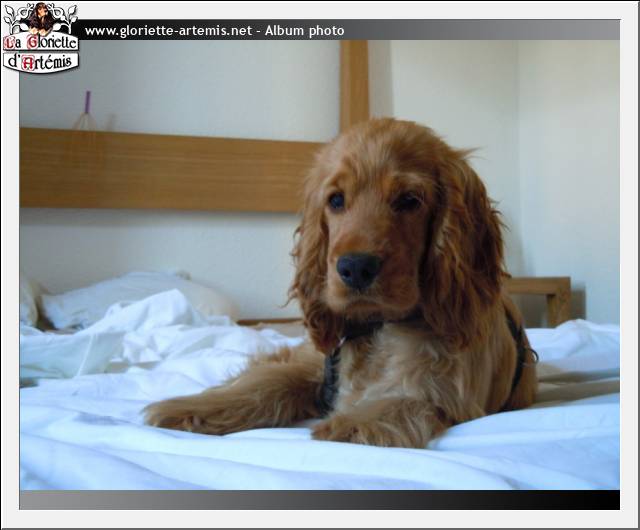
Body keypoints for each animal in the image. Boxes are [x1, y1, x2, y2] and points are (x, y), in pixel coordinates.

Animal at [144, 118, 537, 448]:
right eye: (335, 200)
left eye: (409, 200)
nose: (355, 267)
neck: (375, 327)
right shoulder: (315, 365)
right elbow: (269, 381)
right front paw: (191, 408)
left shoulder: (444, 391)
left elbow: (398, 403)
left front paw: (346, 425)